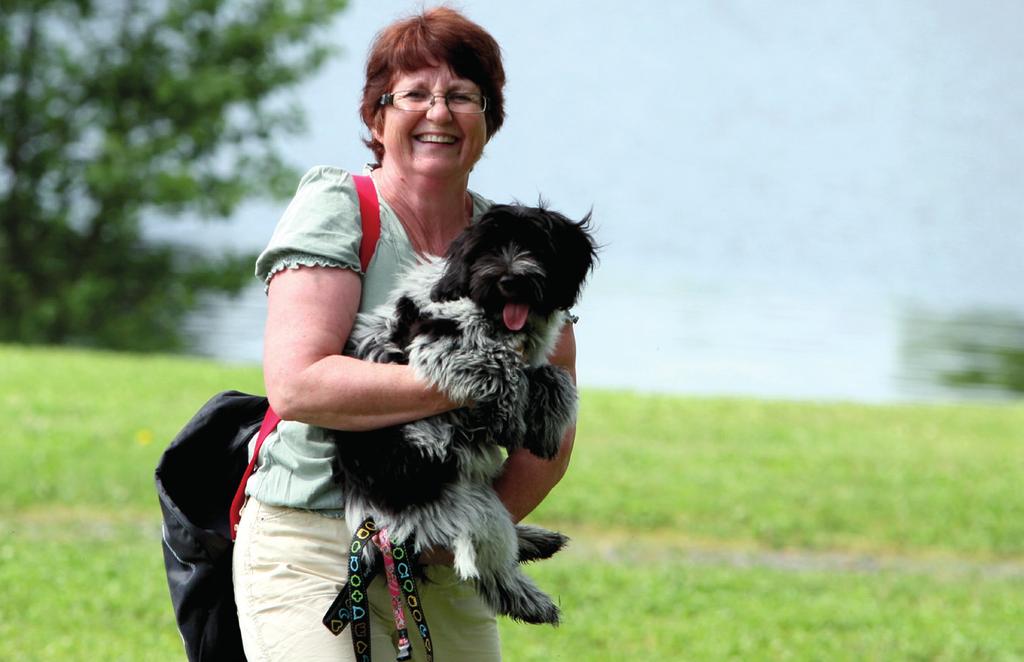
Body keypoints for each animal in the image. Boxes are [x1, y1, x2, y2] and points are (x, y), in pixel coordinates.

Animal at [331, 203, 598, 627]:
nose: (510, 279)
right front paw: (509, 416)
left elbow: (552, 375)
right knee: (491, 566)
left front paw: (547, 423)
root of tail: (376, 524)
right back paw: (529, 600)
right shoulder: (436, 346)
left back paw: (534, 540)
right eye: (487, 249)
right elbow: (500, 362)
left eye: (537, 246)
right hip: (468, 505)